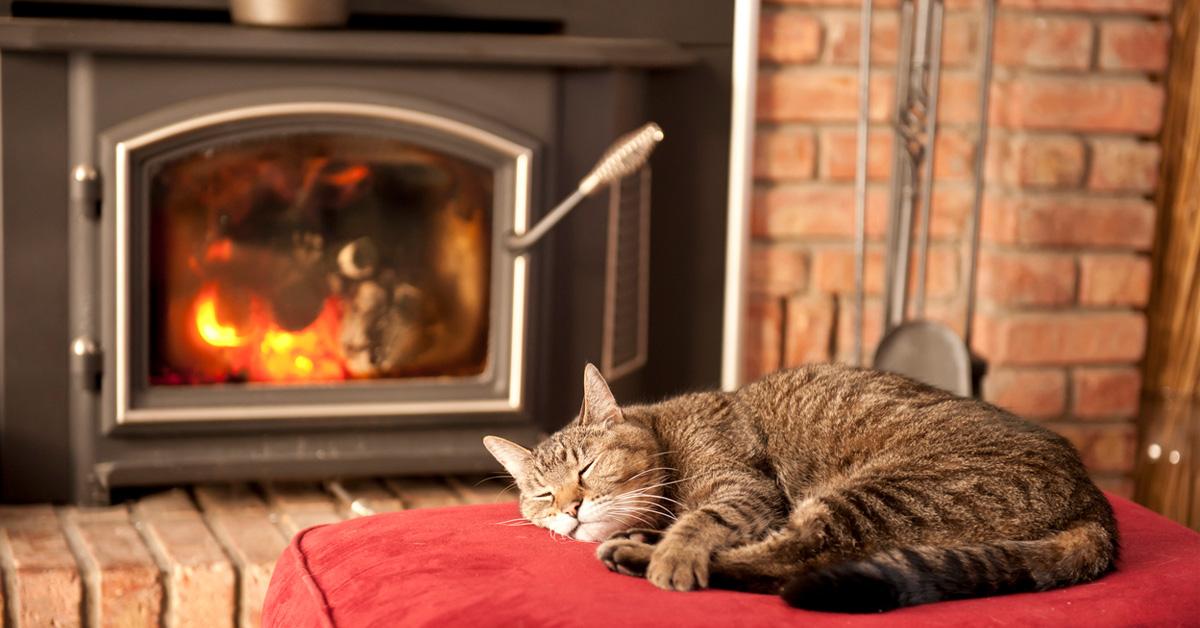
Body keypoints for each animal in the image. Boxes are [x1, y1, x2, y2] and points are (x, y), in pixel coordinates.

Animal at [482, 362, 1118, 614]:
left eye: (587, 469)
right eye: (543, 496)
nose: (570, 508)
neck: (666, 432)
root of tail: (1094, 501)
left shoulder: (744, 491)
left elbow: (701, 523)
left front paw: (670, 550)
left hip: (874, 493)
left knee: (786, 561)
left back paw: (639, 556)